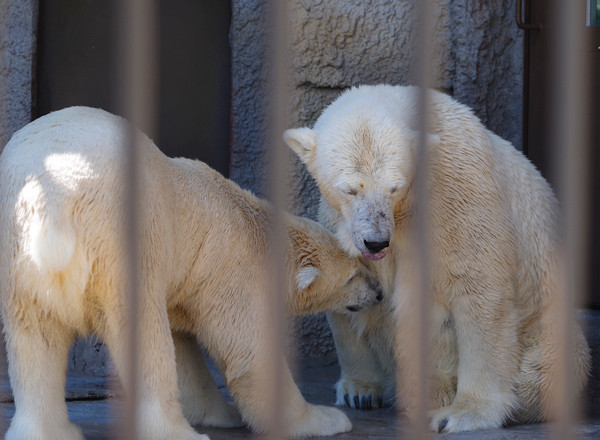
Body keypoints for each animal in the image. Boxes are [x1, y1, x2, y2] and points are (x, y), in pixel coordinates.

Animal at [0, 105, 382, 440]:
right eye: (352, 276)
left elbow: (185, 349)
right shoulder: (231, 267)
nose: (378, 292)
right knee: (142, 333)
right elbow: (249, 352)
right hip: (123, 242)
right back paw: (177, 433)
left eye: (363, 265)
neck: (251, 222)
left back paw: (49, 431)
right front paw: (325, 419)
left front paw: (223, 413)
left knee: (35, 338)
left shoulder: (186, 279)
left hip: (20, 261)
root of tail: (52, 205)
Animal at [284, 85, 592, 434]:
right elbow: (348, 294)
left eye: (394, 187)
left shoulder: (455, 197)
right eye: (349, 189)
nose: (376, 241)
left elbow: (478, 292)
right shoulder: (340, 222)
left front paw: (464, 413)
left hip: (545, 321)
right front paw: (359, 390)